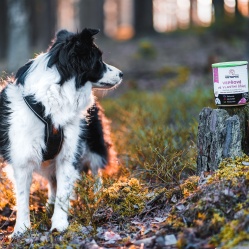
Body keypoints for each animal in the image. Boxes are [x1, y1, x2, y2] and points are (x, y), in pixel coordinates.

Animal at [0, 28, 122, 234]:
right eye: (98, 60)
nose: (121, 74)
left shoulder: (69, 152)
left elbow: (64, 191)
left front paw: (59, 224)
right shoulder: (22, 157)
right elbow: (23, 196)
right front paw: (21, 229)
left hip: (93, 142)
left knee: (96, 169)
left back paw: (97, 195)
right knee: (52, 180)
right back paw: (49, 203)